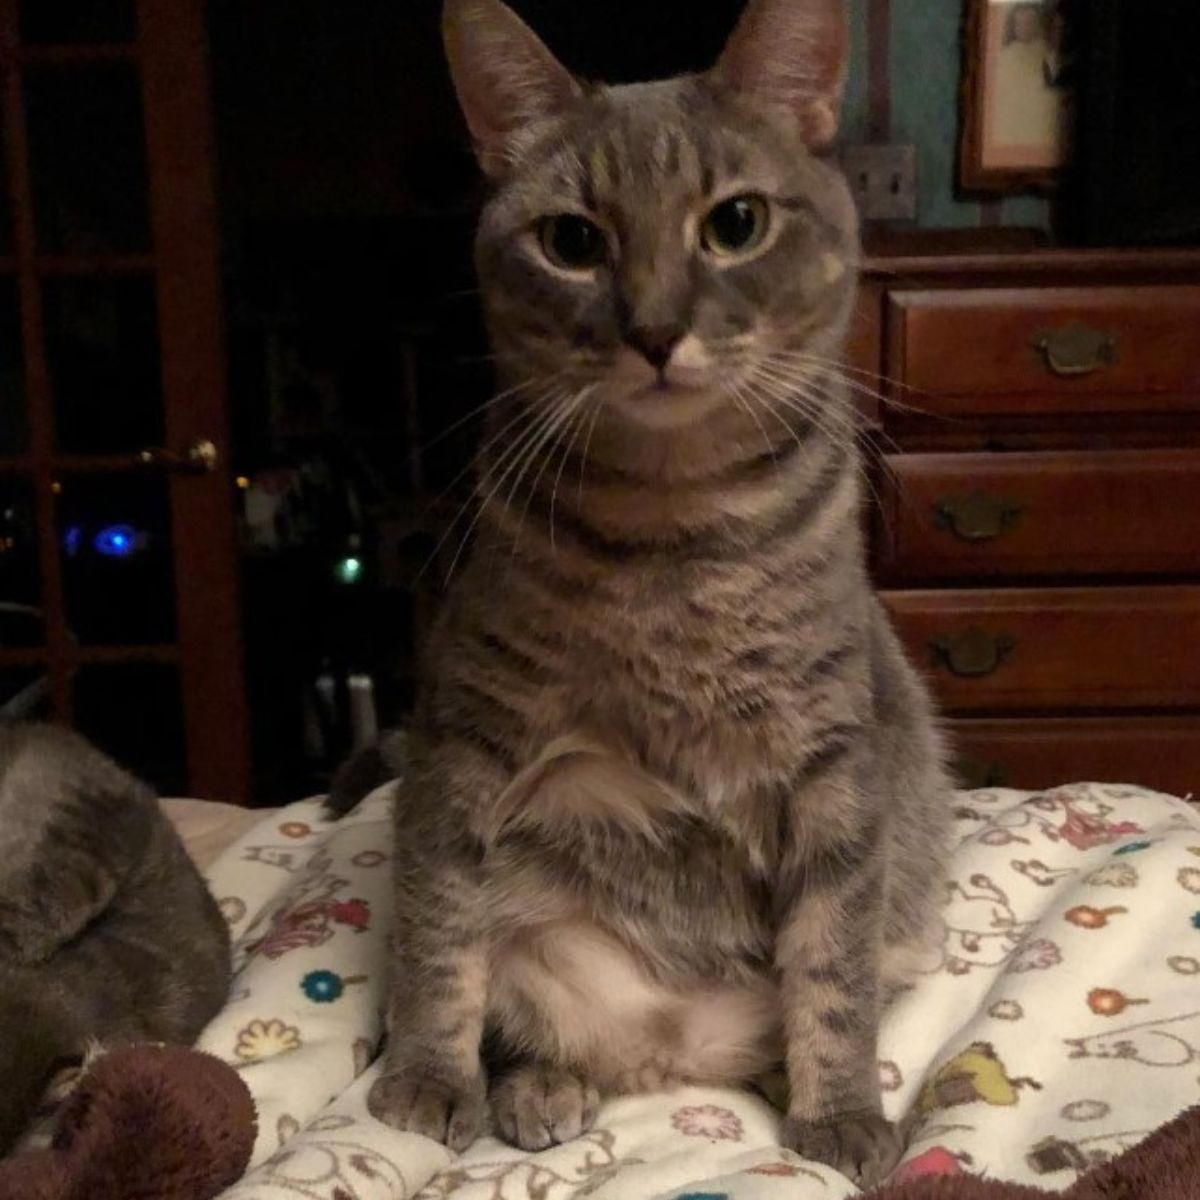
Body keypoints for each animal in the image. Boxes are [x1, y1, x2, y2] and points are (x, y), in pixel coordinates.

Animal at [367, 0, 955, 1180]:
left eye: (735, 224)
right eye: (572, 242)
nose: (651, 331)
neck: (673, 530)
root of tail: (673, 1051)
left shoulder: (831, 755)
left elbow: (832, 964)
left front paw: (837, 1110)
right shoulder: (465, 738)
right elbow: (440, 930)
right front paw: (427, 1079)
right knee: (517, 1008)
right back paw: (538, 1083)